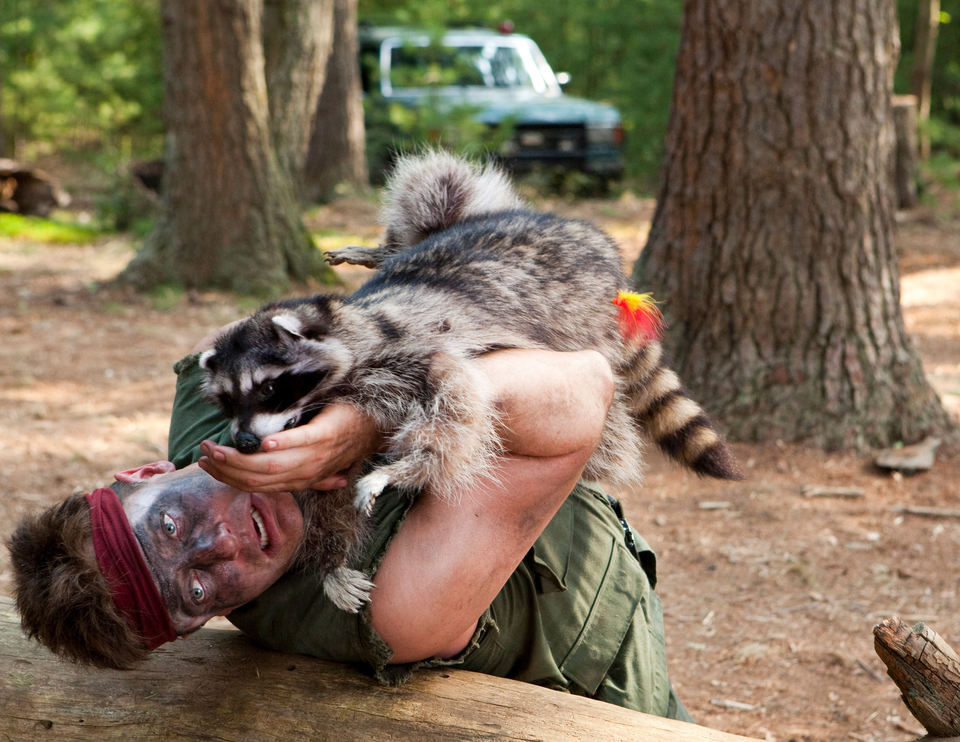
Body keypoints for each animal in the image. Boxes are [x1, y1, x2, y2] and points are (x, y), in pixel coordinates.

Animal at [201, 150, 744, 612]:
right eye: (227, 401)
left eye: (270, 388)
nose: (244, 441)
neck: (350, 330)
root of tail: (595, 246)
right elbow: (322, 494)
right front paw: (330, 559)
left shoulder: (413, 352)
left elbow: (455, 406)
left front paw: (402, 469)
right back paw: (383, 250)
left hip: (578, 315)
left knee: (440, 181)